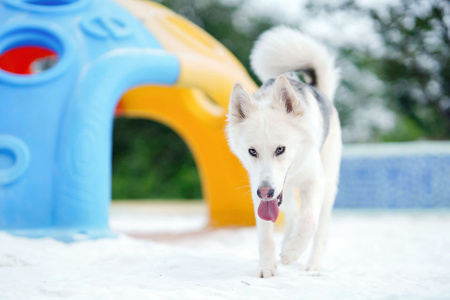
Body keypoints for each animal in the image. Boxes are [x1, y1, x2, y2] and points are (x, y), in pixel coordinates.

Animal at [225, 27, 342, 278]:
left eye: (280, 149)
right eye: (252, 151)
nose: (265, 192)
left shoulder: (315, 182)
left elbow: (309, 221)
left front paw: (291, 254)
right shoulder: (258, 188)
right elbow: (266, 234)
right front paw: (267, 266)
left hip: (328, 187)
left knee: (319, 228)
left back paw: (312, 265)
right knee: (293, 213)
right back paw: (287, 241)